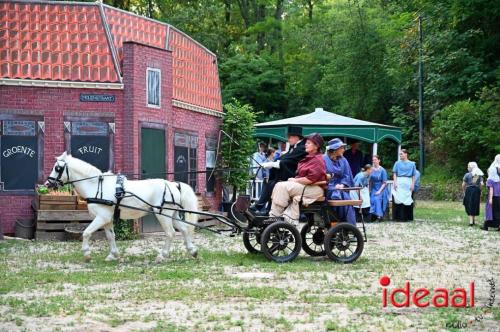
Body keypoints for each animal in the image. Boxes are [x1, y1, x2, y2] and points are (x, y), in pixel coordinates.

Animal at [45, 152, 199, 264]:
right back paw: (192, 250)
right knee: (184, 229)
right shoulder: (107, 219)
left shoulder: (101, 217)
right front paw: (113, 255)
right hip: (172, 215)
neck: (96, 186)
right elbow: (110, 236)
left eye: (57, 168)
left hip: (162, 214)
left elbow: (86, 233)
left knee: (170, 233)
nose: (48, 183)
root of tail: (173, 184)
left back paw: (162, 255)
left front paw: (87, 254)